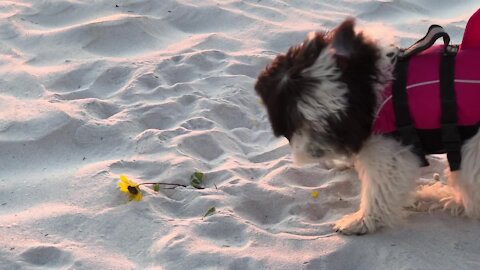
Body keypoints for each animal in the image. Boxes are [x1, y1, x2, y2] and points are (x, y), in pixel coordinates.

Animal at [255, 19, 480, 234]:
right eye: (295, 119)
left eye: (333, 122)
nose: (316, 152)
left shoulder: (388, 149)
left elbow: (380, 188)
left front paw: (363, 220)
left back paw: (439, 197)